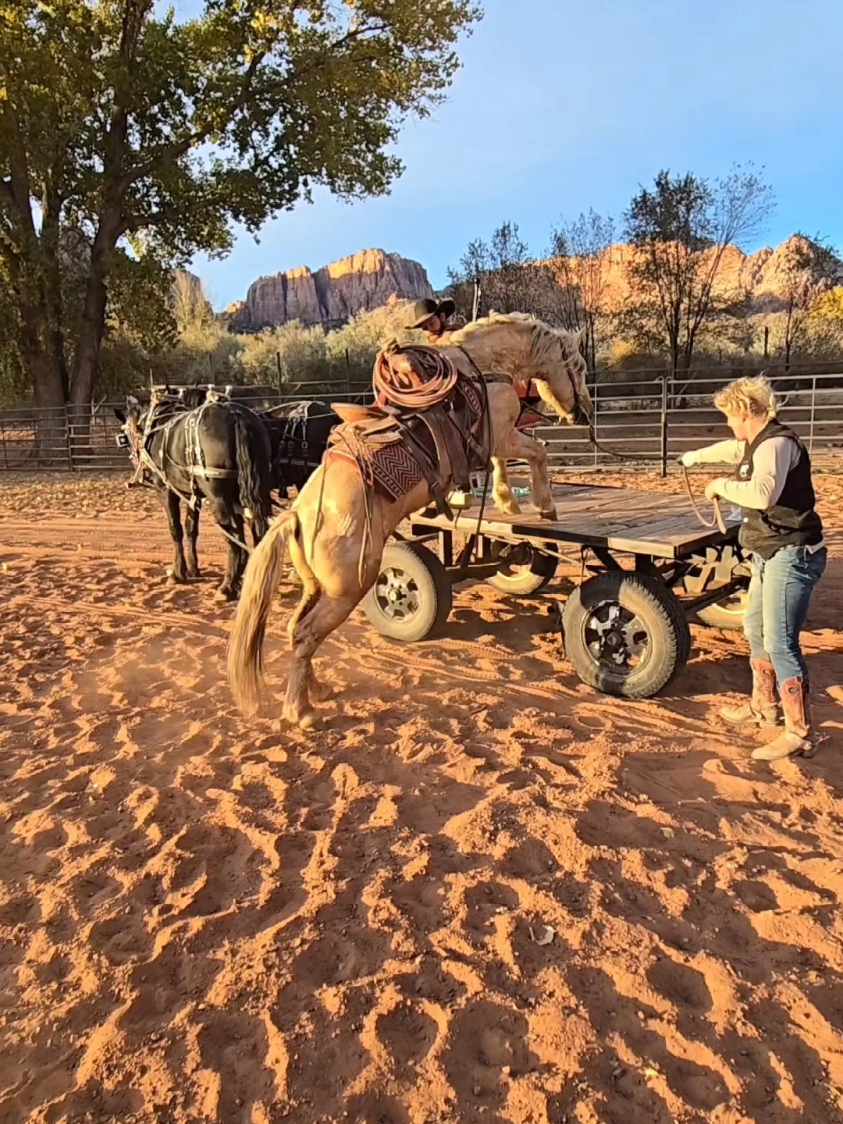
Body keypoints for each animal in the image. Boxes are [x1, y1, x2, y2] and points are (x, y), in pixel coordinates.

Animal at [114, 391, 270, 602]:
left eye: (126, 436)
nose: (134, 460)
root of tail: (235, 415)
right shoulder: (191, 494)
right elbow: (191, 529)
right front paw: (193, 568)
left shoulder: (165, 489)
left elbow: (176, 529)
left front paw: (178, 573)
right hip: (248, 492)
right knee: (257, 528)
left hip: (218, 496)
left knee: (234, 534)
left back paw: (228, 586)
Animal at [225, 312, 593, 728]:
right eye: (578, 366)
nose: (582, 411)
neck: (484, 367)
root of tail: (296, 517)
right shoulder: (502, 436)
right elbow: (536, 452)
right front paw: (544, 505)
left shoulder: (493, 443)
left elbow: (507, 463)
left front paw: (507, 501)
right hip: (345, 590)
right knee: (305, 634)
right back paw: (299, 711)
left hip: (316, 586)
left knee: (294, 630)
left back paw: (316, 692)